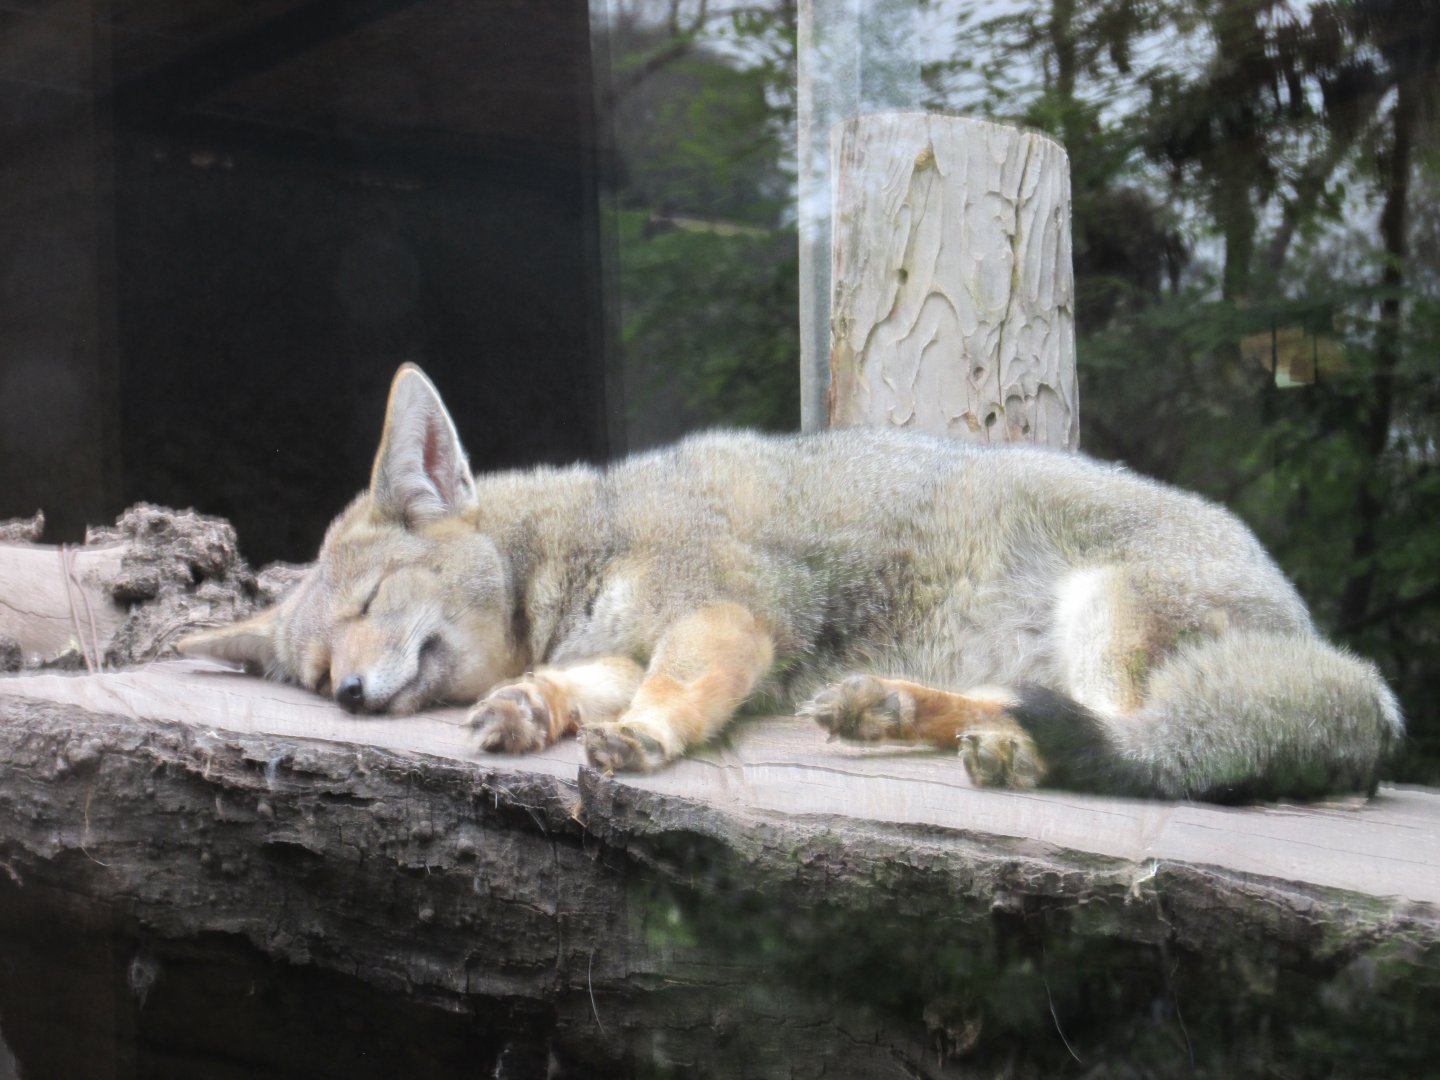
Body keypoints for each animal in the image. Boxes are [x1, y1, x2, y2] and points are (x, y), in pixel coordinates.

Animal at [177, 364, 1402, 801]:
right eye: (317, 668)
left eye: (372, 608)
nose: (347, 697)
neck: (592, 536)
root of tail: (1358, 680)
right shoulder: (626, 641)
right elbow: (578, 685)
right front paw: (533, 709)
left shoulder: (725, 617)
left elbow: (668, 695)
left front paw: (645, 740)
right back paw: (900, 711)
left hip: (1104, 612)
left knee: (1140, 739)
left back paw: (1015, 751)